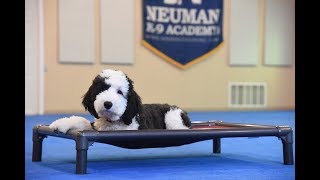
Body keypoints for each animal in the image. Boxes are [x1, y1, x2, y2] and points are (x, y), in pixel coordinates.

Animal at [49, 68, 190, 133]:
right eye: (102, 89)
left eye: (120, 92)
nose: (107, 104)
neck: (112, 122)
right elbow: (81, 120)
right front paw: (61, 124)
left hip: (173, 118)